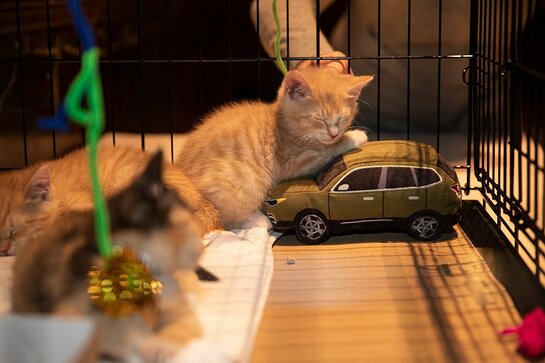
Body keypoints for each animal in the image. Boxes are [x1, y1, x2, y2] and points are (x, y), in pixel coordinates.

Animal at [176, 67, 372, 229]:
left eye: (342, 119)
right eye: (319, 119)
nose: (333, 134)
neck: (283, 124)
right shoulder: (294, 162)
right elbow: (326, 150)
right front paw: (355, 137)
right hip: (243, 180)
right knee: (228, 216)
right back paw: (259, 220)